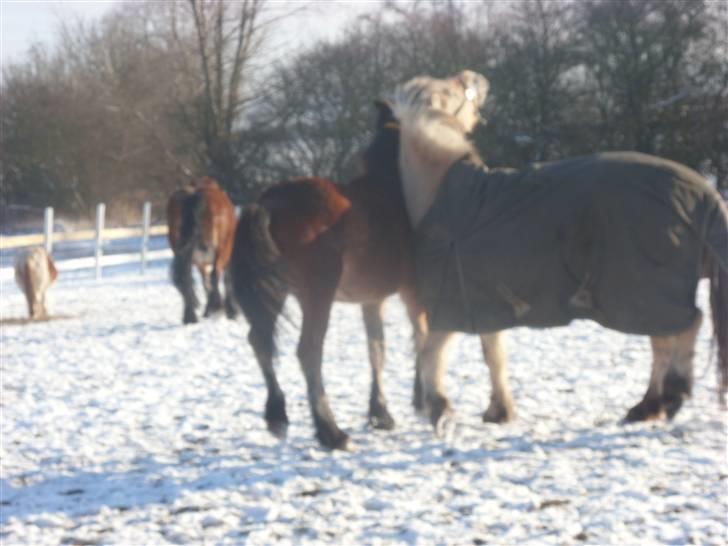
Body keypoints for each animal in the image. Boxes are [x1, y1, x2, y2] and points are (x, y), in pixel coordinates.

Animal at [166, 176, 237, 324]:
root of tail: (195, 195)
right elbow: (223, 280)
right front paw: (229, 310)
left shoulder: (200, 263)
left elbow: (206, 283)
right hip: (220, 251)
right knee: (215, 275)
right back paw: (214, 308)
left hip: (184, 253)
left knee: (185, 278)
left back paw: (190, 316)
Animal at [230, 100, 430, 448]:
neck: (393, 189)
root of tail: (267, 204)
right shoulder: (413, 292)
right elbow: (421, 337)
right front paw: (422, 400)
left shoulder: (372, 300)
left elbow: (377, 349)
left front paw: (380, 413)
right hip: (317, 295)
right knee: (308, 351)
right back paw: (330, 431)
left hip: (276, 293)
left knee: (259, 341)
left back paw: (277, 416)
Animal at [386, 70, 728, 432]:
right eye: (452, 87)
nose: (476, 77)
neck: (444, 195)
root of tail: (704, 190)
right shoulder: (482, 303)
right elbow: (493, 355)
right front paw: (499, 411)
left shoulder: (451, 302)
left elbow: (431, 353)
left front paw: (440, 408)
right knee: (671, 337)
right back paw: (651, 405)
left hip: (645, 291)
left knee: (681, 331)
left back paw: (666, 398)